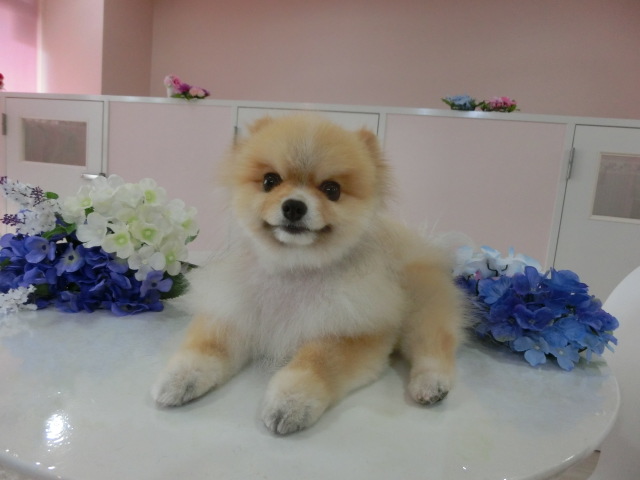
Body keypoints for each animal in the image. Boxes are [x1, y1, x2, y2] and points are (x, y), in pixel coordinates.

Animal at [151, 114, 466, 435]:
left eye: (332, 190)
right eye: (270, 181)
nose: (293, 206)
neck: (294, 269)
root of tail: (421, 243)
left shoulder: (355, 331)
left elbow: (317, 361)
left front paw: (292, 401)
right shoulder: (235, 311)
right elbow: (206, 346)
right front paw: (180, 377)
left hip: (420, 304)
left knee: (434, 342)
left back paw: (430, 384)